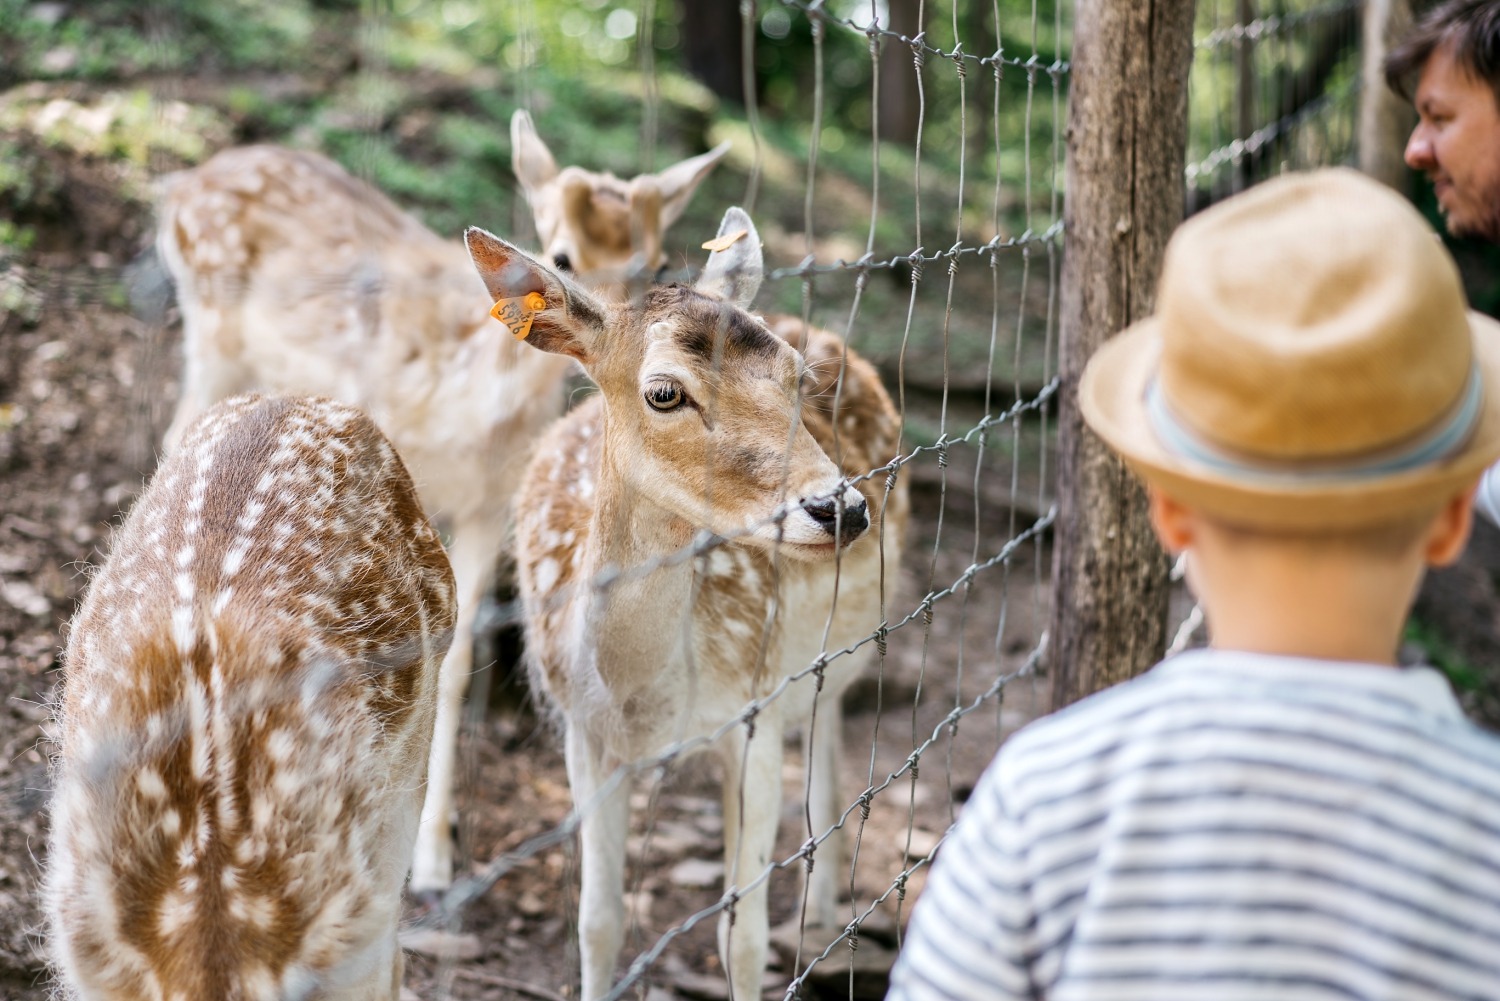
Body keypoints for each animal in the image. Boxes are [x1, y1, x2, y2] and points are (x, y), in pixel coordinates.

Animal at [155, 121, 729, 894]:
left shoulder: (492, 503)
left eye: (659, 260)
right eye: (561, 256)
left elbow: (458, 660)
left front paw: (433, 857)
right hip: (210, 334)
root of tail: (186, 182)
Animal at [468, 207, 906, 996]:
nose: (842, 508)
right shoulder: (583, 734)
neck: (645, 699)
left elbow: (742, 935)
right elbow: (597, 921)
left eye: (798, 378)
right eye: (664, 392)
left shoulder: (755, 709)